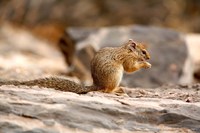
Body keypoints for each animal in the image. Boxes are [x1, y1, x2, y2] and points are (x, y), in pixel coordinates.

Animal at [0, 39, 150, 94]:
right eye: (143, 51)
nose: (149, 57)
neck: (126, 50)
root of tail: (96, 85)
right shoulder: (127, 59)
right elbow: (130, 68)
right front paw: (146, 64)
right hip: (116, 75)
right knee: (106, 91)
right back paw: (117, 90)